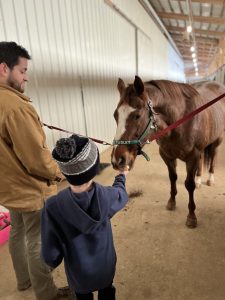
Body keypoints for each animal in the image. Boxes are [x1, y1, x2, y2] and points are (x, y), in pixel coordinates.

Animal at [111, 77, 225, 227]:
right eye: (115, 115)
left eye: (137, 115)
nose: (117, 160)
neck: (181, 120)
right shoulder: (167, 155)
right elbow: (173, 178)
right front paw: (171, 202)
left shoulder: (192, 157)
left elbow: (189, 185)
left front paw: (191, 216)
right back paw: (199, 180)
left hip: (217, 140)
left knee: (213, 157)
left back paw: (210, 179)